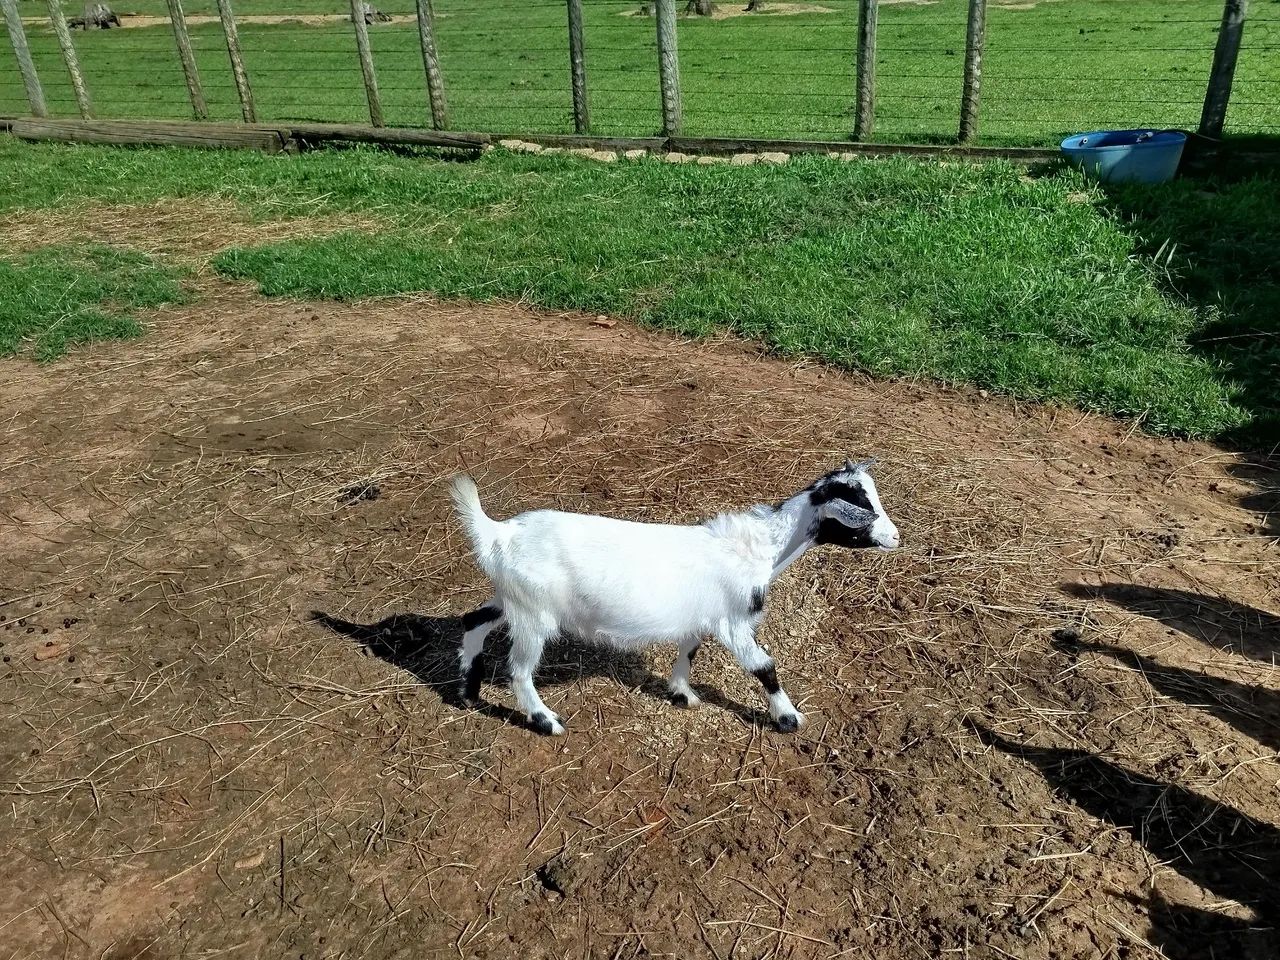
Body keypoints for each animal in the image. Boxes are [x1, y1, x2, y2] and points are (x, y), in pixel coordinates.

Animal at [449, 460, 900, 735]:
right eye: (861, 505)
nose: (895, 538)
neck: (759, 550)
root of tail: (500, 534)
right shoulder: (733, 621)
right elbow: (764, 667)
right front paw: (788, 718)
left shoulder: (701, 616)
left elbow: (689, 649)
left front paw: (681, 693)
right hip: (534, 613)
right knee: (519, 669)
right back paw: (545, 721)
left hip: (511, 598)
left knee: (473, 620)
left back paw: (468, 693)